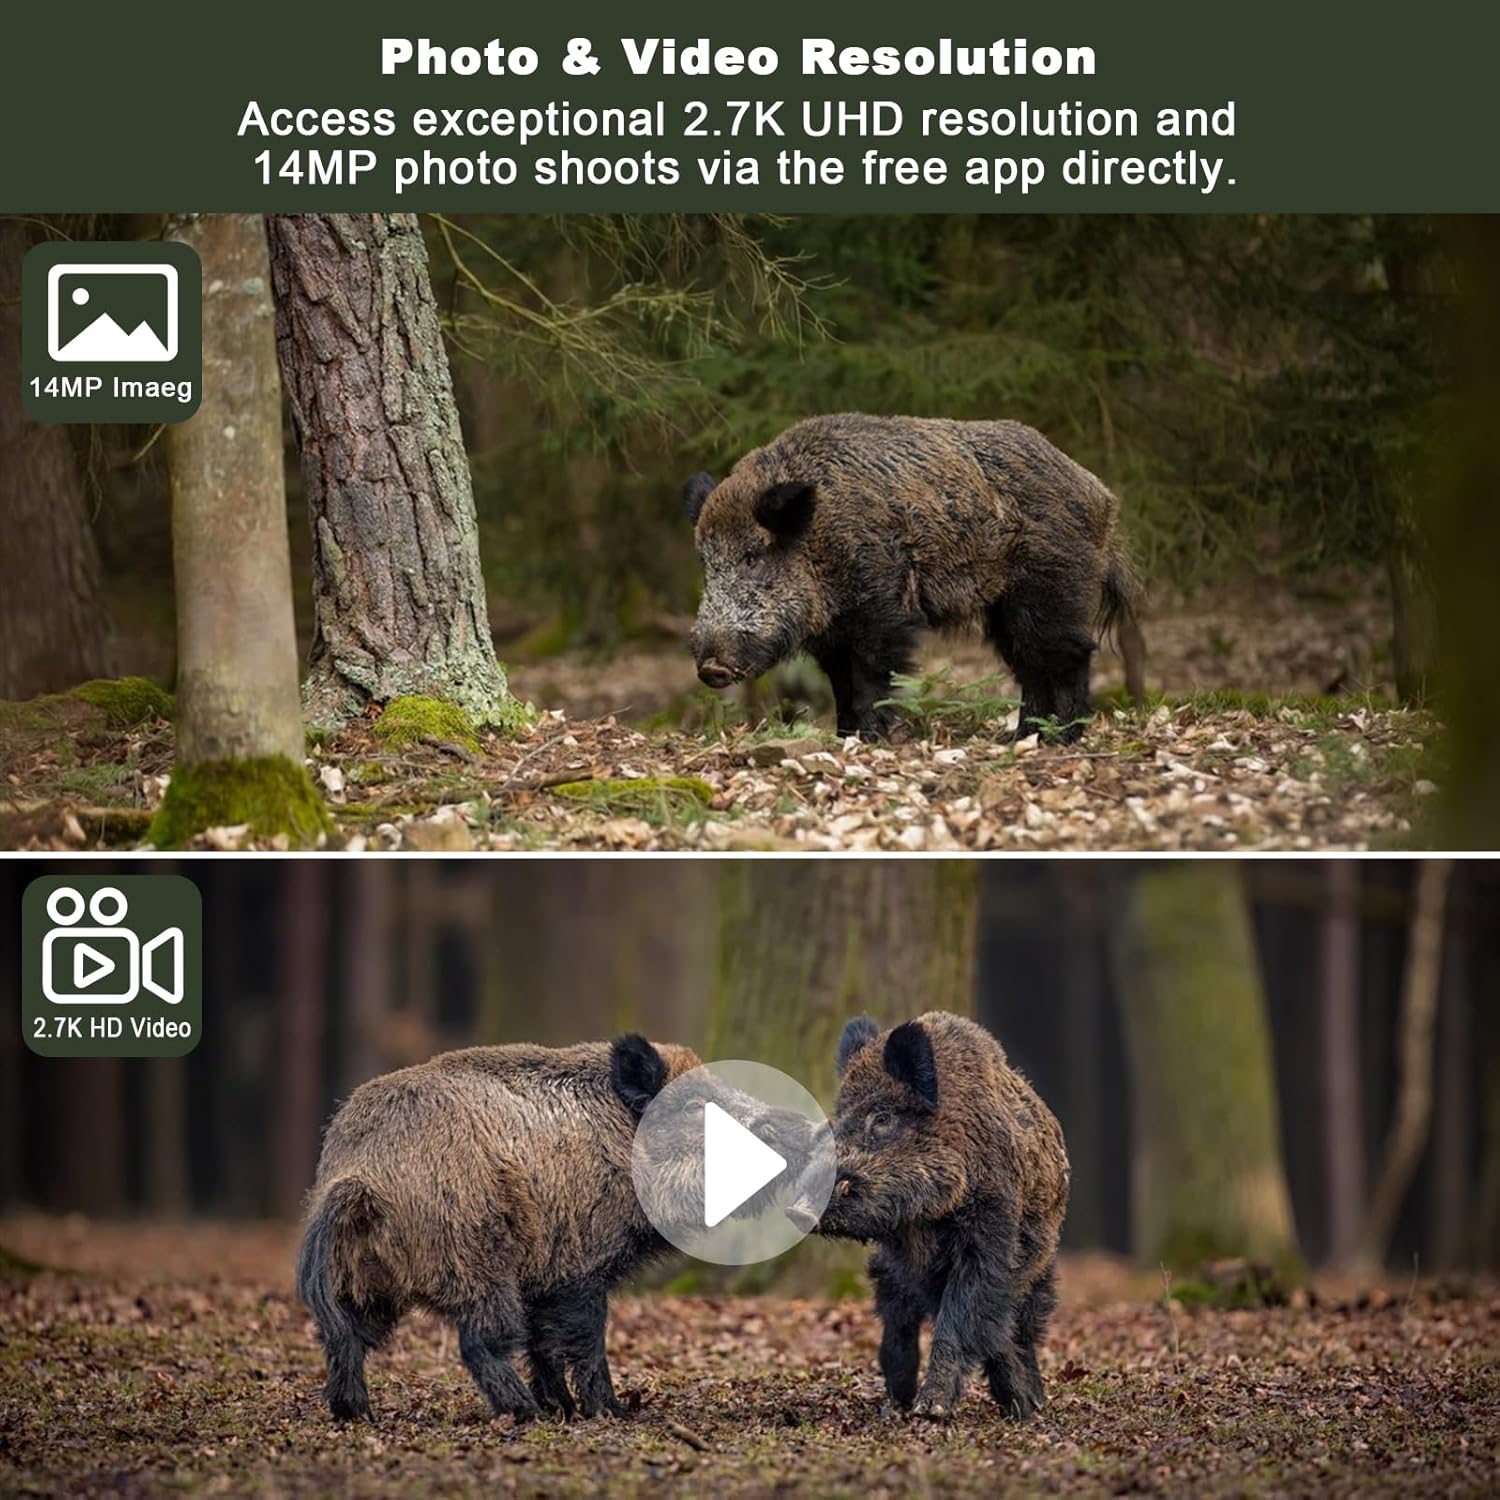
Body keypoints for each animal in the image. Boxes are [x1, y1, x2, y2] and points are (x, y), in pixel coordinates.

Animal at [297, 1035, 812, 1423]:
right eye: (694, 1106)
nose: (805, 1127)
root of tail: (359, 1175)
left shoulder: (543, 1275)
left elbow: (543, 1346)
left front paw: (566, 1408)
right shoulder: (579, 1267)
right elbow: (582, 1341)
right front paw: (610, 1413)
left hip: (364, 1280)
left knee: (344, 1338)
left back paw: (355, 1413)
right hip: (476, 1260)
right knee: (479, 1341)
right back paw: (526, 1413)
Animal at [683, 413, 1145, 743]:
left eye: (753, 556)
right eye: (706, 562)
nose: (711, 667)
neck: (821, 540)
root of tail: (1100, 494)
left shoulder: (882, 612)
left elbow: (870, 678)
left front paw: (871, 739)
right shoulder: (833, 634)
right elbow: (840, 685)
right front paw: (845, 737)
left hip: (1051, 588)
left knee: (1070, 654)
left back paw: (1060, 739)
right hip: (1005, 607)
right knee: (1030, 664)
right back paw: (1019, 738)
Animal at [788, 1012, 1069, 1420]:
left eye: (883, 1117)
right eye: (838, 1119)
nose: (797, 1209)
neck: (926, 1217)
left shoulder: (992, 1236)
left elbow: (966, 1315)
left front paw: (935, 1409)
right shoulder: (910, 1260)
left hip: (1041, 1264)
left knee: (1029, 1322)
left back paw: (1032, 1401)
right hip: (888, 1276)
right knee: (898, 1319)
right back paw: (897, 1401)